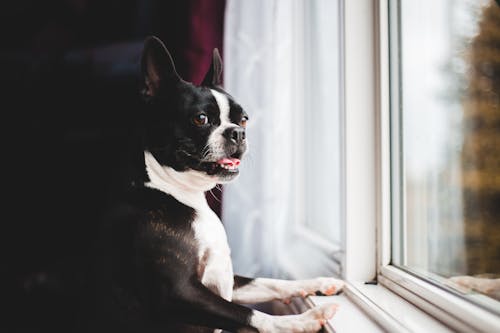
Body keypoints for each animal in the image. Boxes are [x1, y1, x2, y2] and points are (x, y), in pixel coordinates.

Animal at [86, 35, 344, 330]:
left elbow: (268, 282)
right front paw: (301, 321)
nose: (238, 132)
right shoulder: (179, 293)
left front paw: (318, 282)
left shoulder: (225, 279)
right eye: (201, 119)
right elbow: (250, 315)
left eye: (244, 119)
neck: (178, 192)